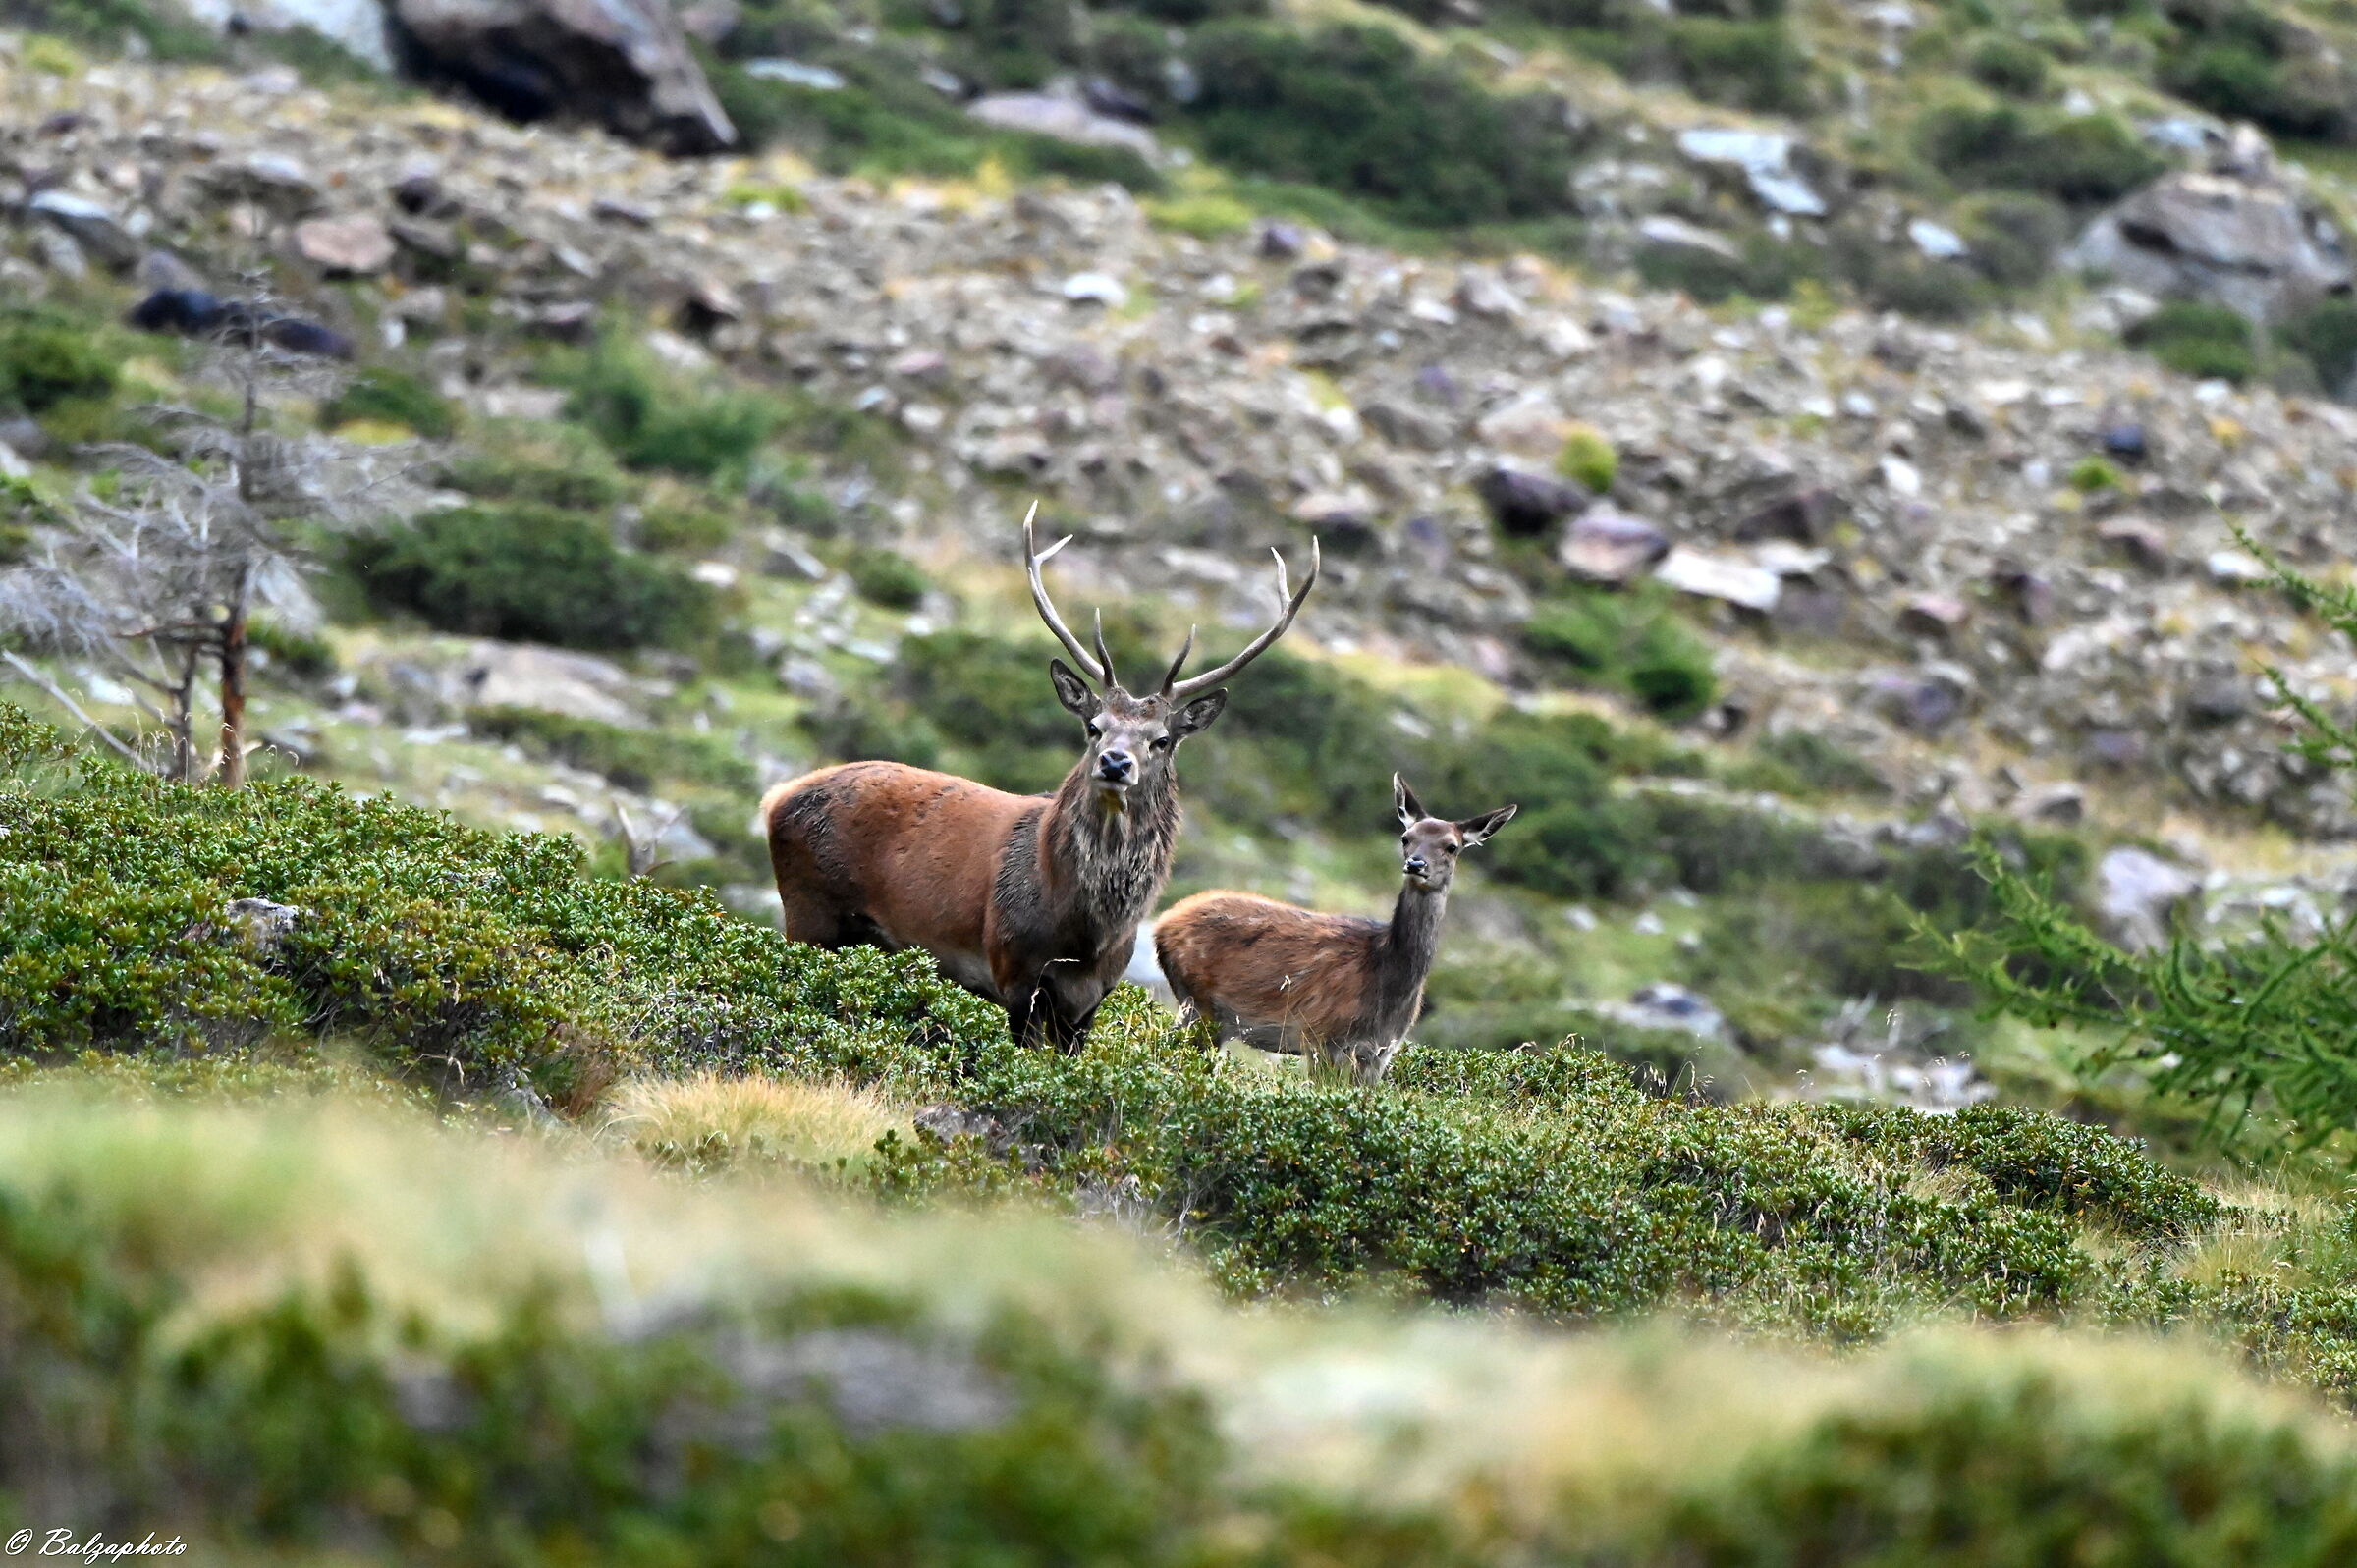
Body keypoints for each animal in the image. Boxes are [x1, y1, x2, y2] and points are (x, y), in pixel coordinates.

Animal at [761, 509, 1318, 1051]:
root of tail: (775, 799)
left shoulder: (1092, 999)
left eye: (1162, 740)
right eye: (1094, 727)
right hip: (809, 913)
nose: (1115, 763)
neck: (1083, 938)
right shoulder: (1013, 970)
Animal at [1154, 776, 1516, 1085]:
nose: (1416, 864)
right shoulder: (1320, 1037)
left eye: (1451, 846)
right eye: (1406, 837)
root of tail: (1163, 924)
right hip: (1200, 1003)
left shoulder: (1379, 1054)